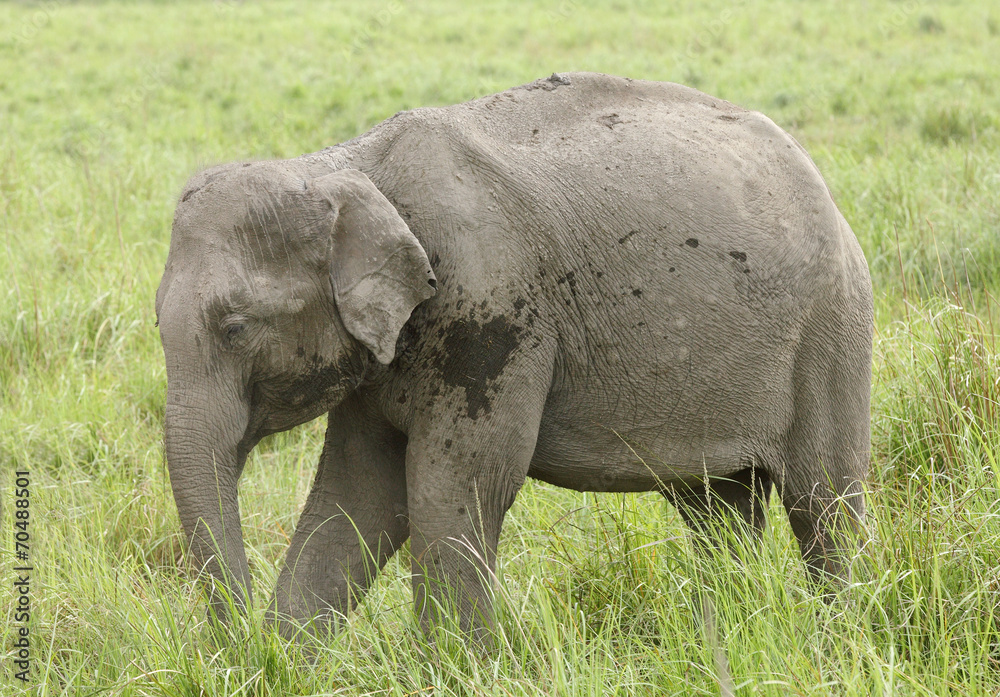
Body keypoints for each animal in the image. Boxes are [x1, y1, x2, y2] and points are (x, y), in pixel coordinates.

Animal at [155, 72, 873, 640]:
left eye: (235, 328)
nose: (241, 637)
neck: (346, 165)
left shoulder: (491, 316)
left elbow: (452, 490)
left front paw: (457, 668)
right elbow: (356, 497)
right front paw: (287, 661)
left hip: (831, 327)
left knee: (823, 502)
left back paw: (839, 637)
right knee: (716, 510)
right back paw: (725, 634)